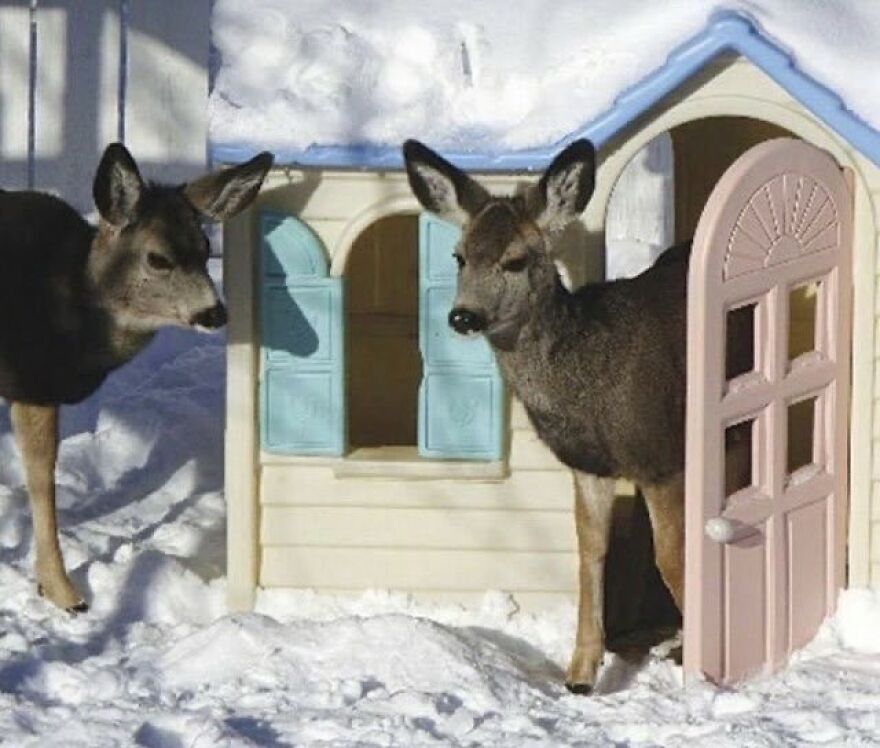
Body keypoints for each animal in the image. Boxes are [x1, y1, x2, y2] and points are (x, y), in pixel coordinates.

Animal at [0, 143, 274, 612]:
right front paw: (63, 592)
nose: (214, 312)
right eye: (158, 258)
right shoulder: (34, 382)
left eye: (206, 248)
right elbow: (42, 479)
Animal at [406, 137, 748, 692]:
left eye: (516, 260)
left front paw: (703, 668)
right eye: (459, 256)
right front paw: (581, 673)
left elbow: (672, 555)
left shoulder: (659, 456)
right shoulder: (589, 466)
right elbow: (591, 552)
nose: (463, 316)